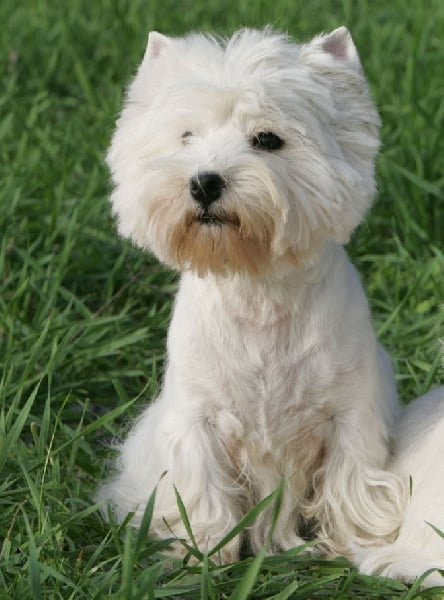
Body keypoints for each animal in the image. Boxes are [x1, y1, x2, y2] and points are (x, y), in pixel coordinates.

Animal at [99, 27, 410, 564]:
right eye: (187, 136)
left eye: (267, 139)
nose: (204, 181)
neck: (256, 287)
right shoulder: (196, 417)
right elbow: (200, 489)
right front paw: (202, 552)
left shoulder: (351, 412)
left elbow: (351, 478)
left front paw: (356, 543)